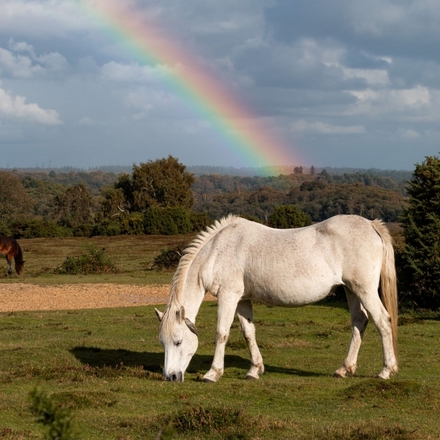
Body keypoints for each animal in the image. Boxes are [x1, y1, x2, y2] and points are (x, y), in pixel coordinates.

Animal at [156, 215, 398, 384]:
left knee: (383, 321)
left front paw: (213, 373)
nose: (171, 377)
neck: (217, 251)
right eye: (162, 342)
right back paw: (344, 369)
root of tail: (371, 224)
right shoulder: (242, 300)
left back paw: (386, 371)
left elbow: (221, 333)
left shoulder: (228, 296)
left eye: (178, 341)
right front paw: (254, 370)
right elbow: (248, 333)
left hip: (364, 290)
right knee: (359, 322)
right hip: (351, 290)